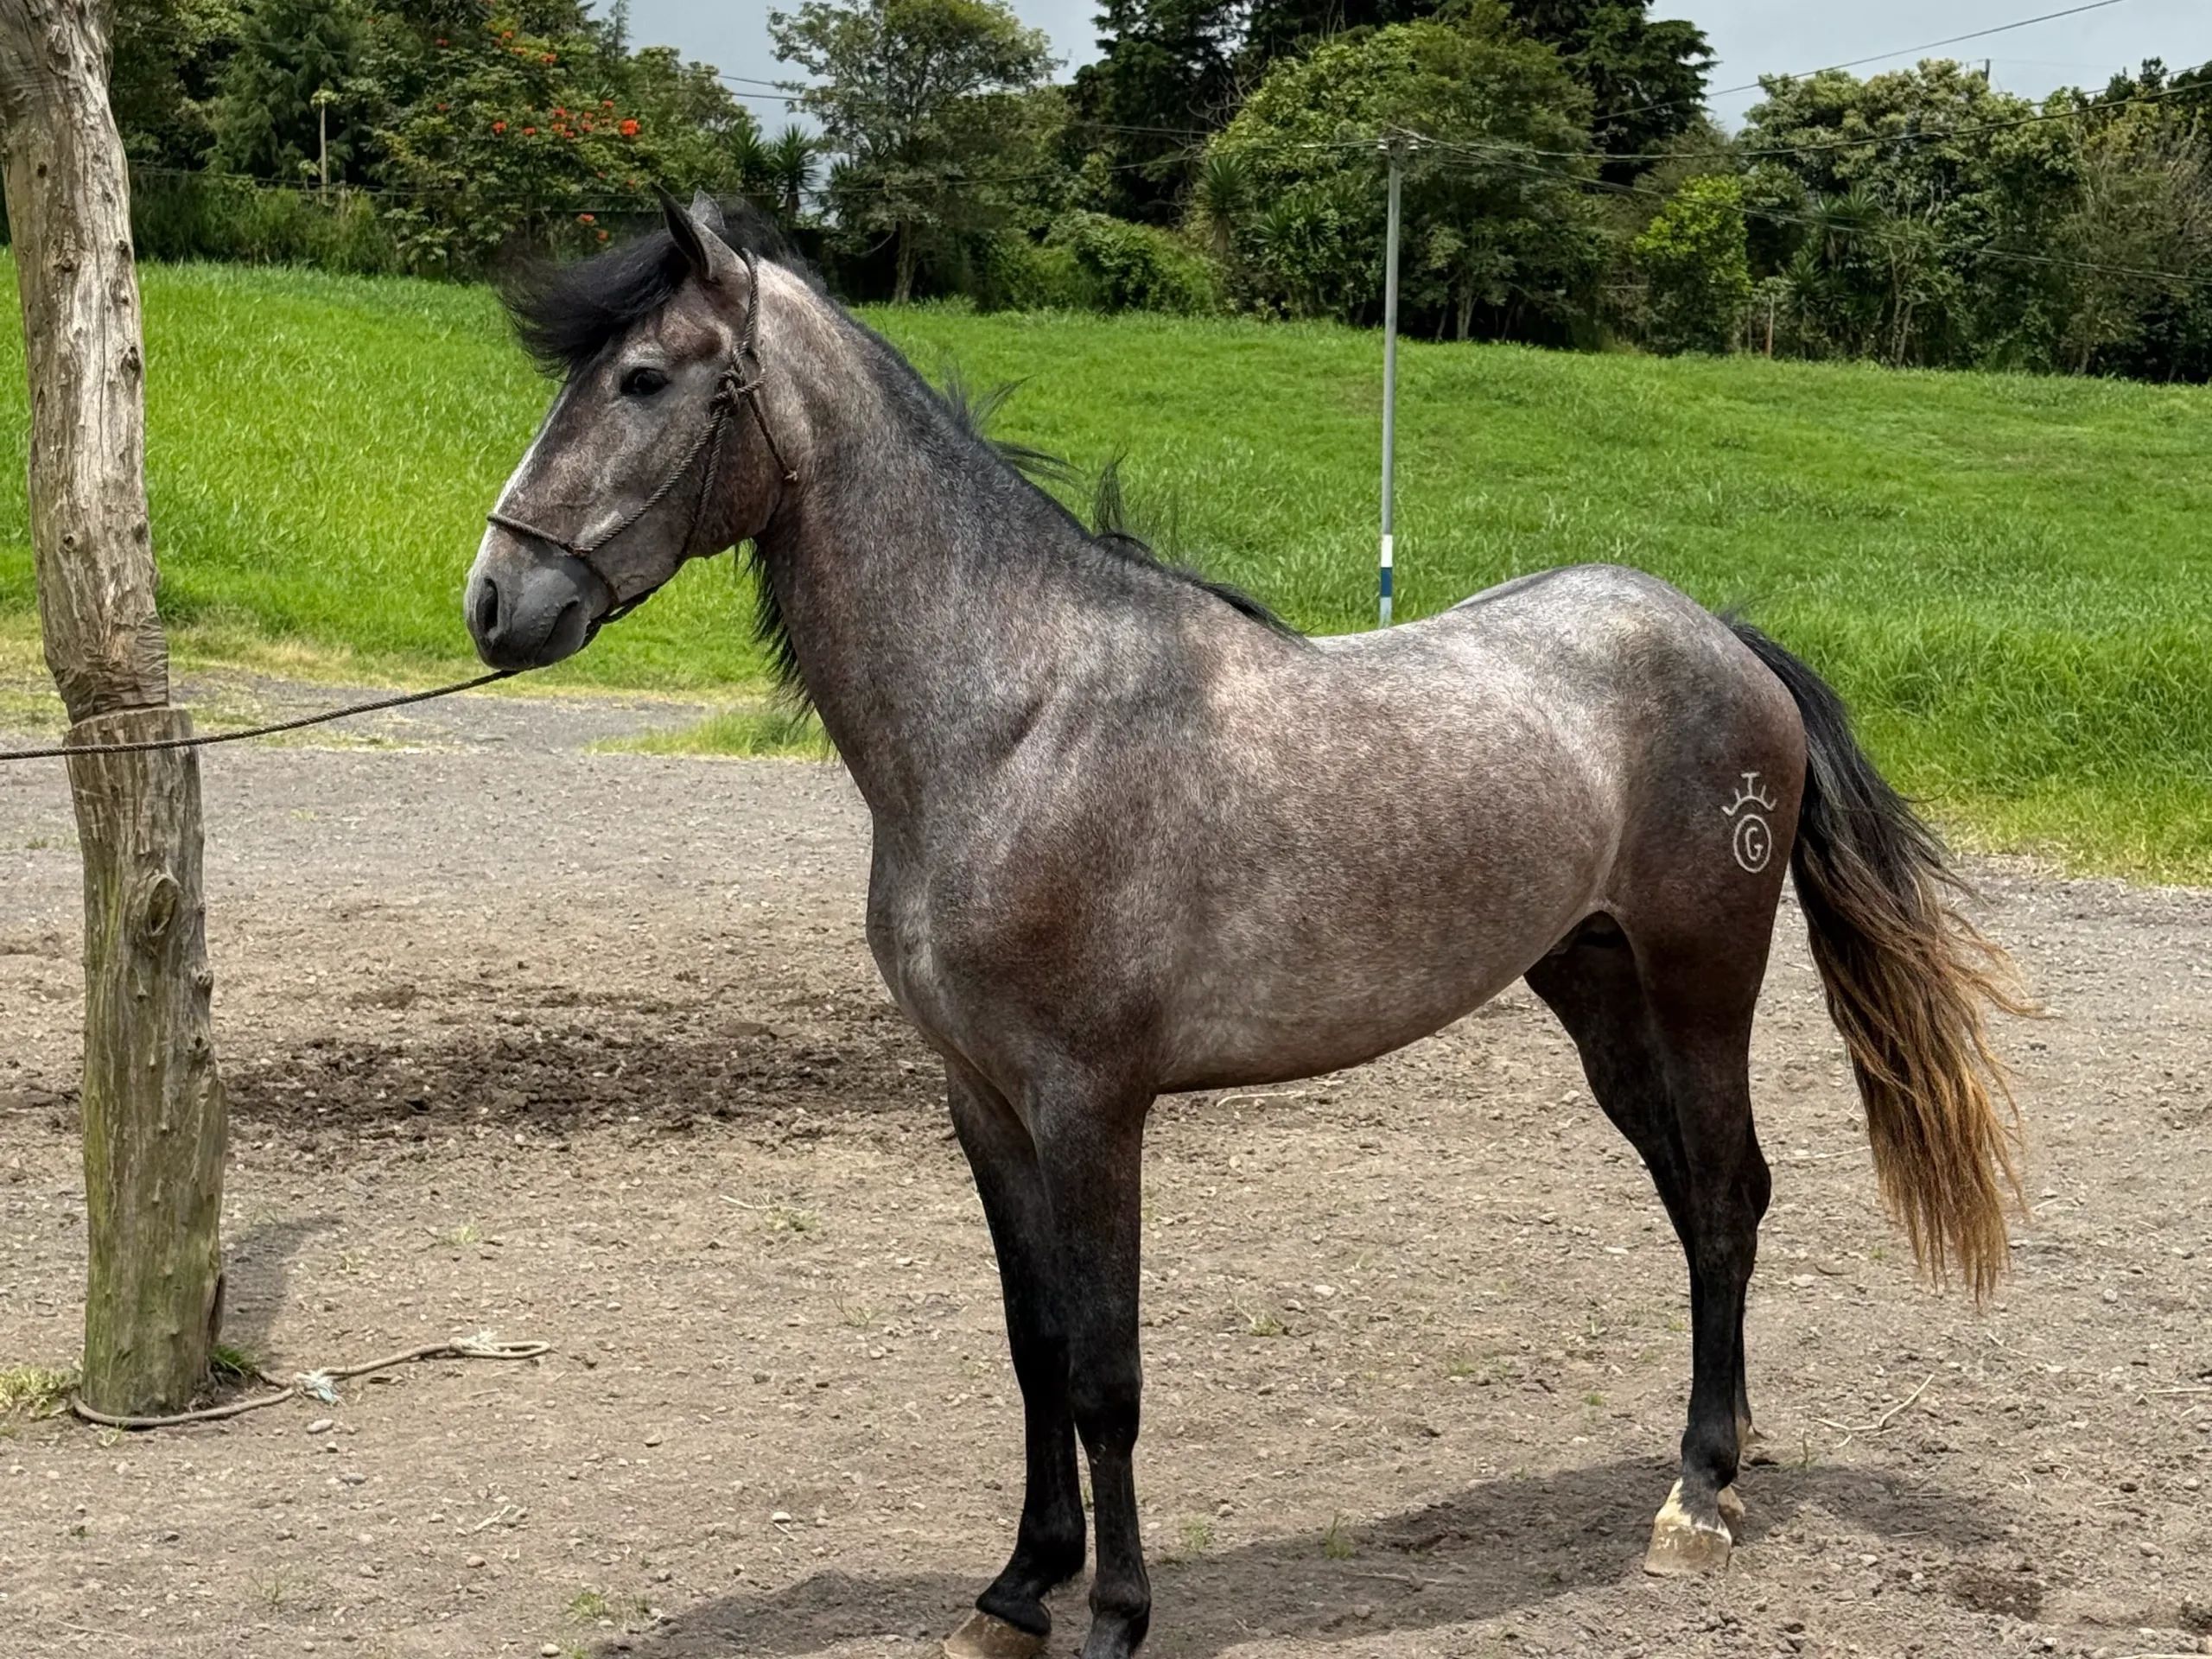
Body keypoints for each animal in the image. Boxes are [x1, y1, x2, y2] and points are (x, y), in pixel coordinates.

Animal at [463, 193, 2025, 1659]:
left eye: (646, 379)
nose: (495, 599)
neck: (1015, 720)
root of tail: (1717, 635)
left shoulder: (1092, 1105)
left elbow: (1105, 1371)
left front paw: (1113, 1613)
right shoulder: (985, 1103)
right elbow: (1035, 1347)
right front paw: (1017, 1591)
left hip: (1704, 983)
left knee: (1722, 1201)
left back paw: (1698, 1499)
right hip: (1597, 994)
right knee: (1704, 1200)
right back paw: (1729, 1452)